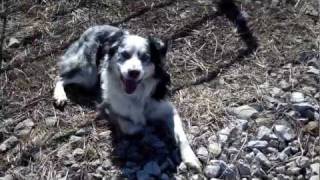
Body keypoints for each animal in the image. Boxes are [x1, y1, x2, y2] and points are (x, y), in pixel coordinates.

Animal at [53, 25, 201, 170]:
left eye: (145, 57)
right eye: (124, 55)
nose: (133, 72)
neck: (136, 94)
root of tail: (93, 27)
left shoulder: (168, 109)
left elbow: (181, 136)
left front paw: (191, 158)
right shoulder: (108, 108)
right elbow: (132, 126)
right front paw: (148, 131)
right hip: (88, 73)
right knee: (60, 77)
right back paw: (59, 96)